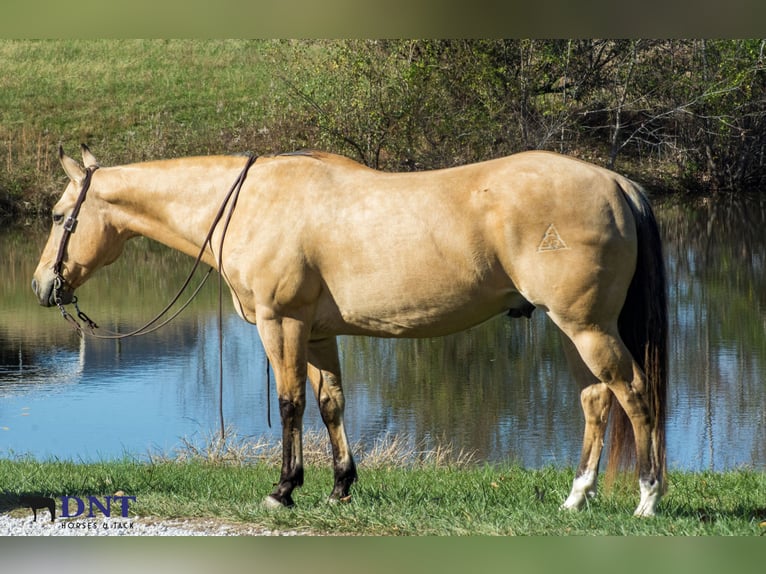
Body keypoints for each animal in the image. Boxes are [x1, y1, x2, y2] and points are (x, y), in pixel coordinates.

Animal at [32, 144, 667, 516]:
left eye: (62, 216)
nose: (42, 286)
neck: (253, 203)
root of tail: (617, 182)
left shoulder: (281, 323)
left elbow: (290, 403)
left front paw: (283, 489)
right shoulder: (316, 333)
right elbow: (331, 402)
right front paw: (340, 486)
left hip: (586, 328)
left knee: (635, 394)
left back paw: (647, 498)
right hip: (578, 331)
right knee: (597, 399)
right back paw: (577, 497)